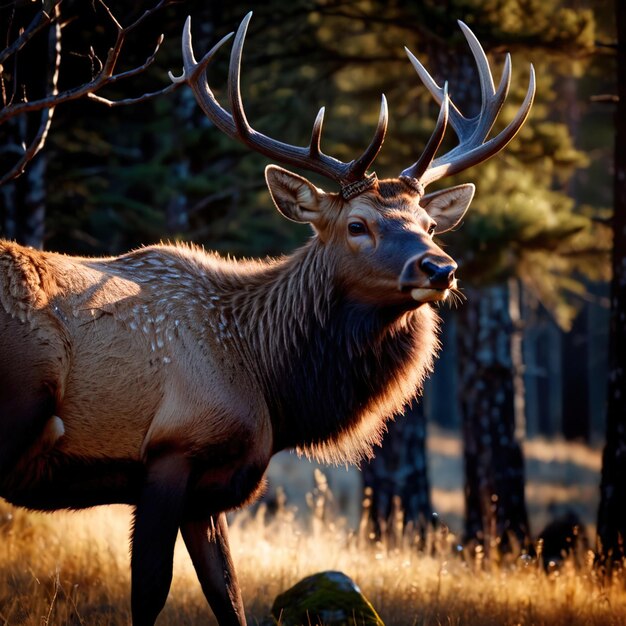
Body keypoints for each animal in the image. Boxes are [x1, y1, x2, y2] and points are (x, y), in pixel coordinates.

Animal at [0, 13, 532, 624]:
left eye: (428, 223)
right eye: (358, 225)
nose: (440, 267)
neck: (270, 385)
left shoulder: (209, 491)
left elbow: (228, 596)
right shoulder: (169, 452)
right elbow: (151, 591)